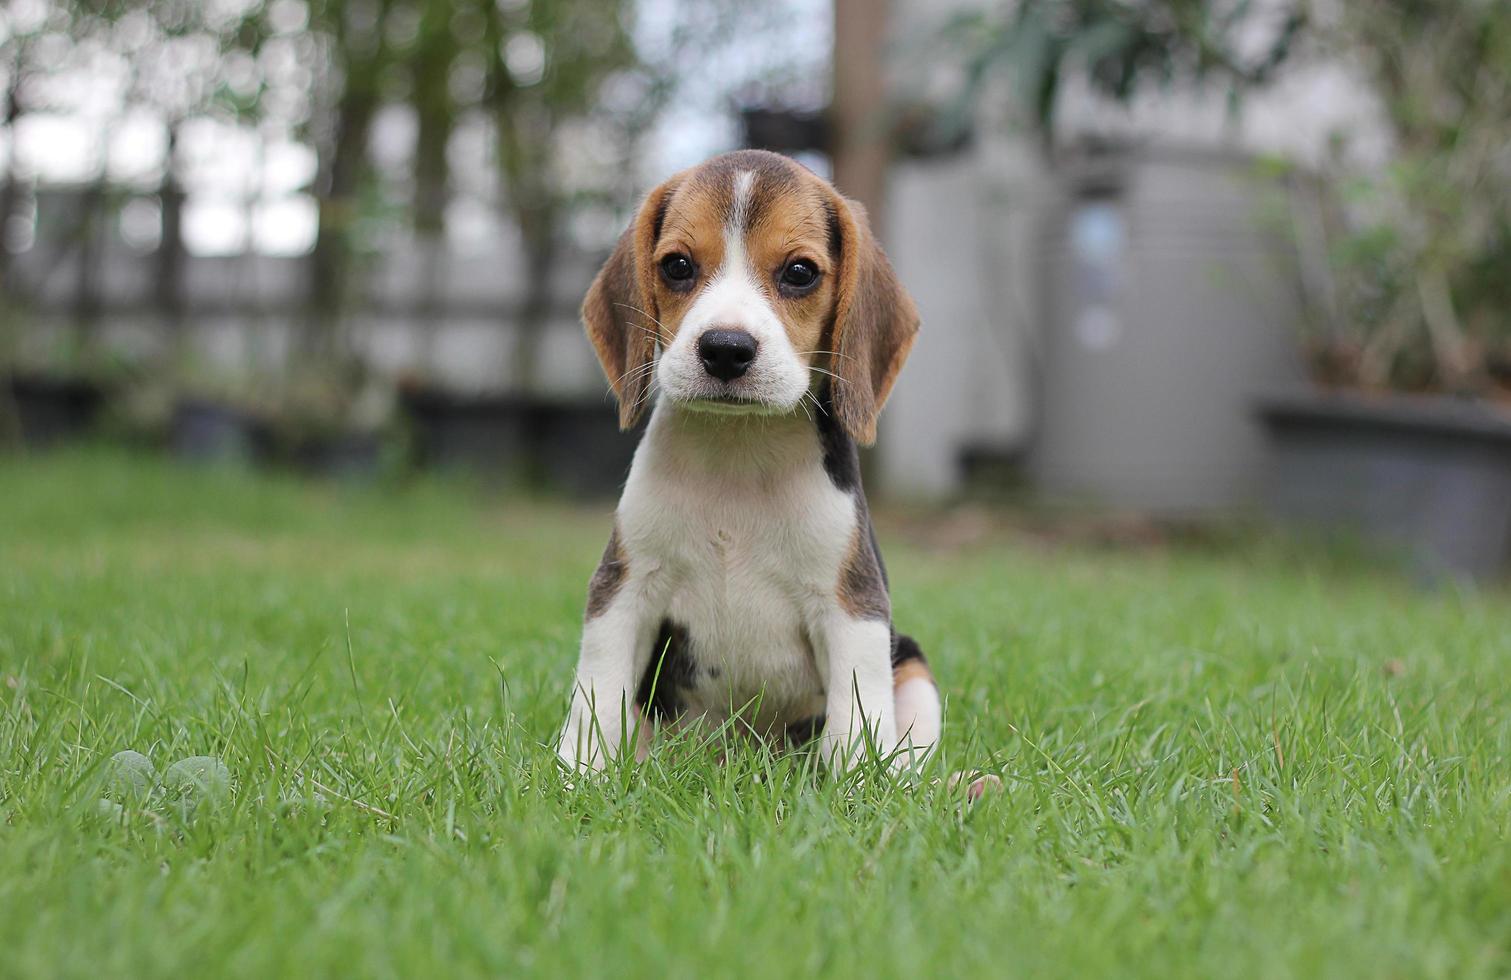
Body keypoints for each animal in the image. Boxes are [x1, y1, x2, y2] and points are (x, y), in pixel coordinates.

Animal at [559, 148, 930, 773]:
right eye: (677, 266)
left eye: (800, 272)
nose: (726, 349)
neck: (739, 450)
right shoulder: (624, 589)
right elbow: (598, 696)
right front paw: (579, 776)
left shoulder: (852, 608)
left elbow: (856, 719)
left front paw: (859, 784)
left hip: (913, 664)